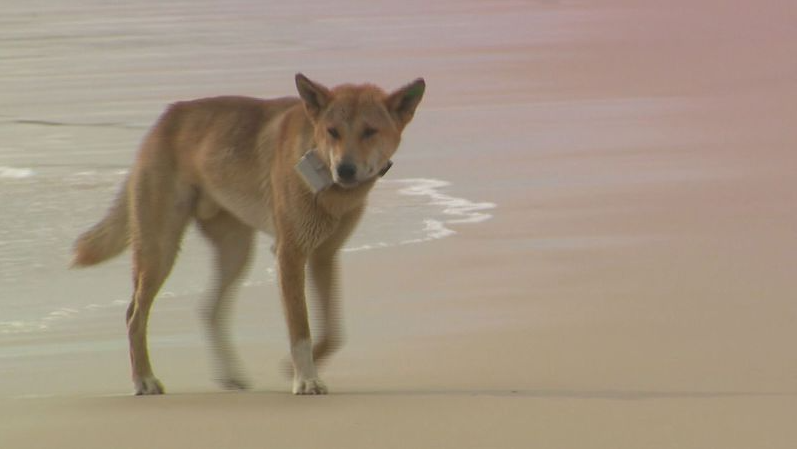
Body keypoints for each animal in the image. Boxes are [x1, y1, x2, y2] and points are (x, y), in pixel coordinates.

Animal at [71, 75, 426, 396]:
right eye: (332, 131)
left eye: (370, 131)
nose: (345, 170)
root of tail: (164, 120)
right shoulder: (290, 254)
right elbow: (301, 329)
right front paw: (305, 380)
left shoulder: (324, 256)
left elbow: (334, 331)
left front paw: (292, 368)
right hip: (160, 249)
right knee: (135, 315)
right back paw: (144, 381)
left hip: (236, 251)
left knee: (210, 310)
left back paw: (230, 377)